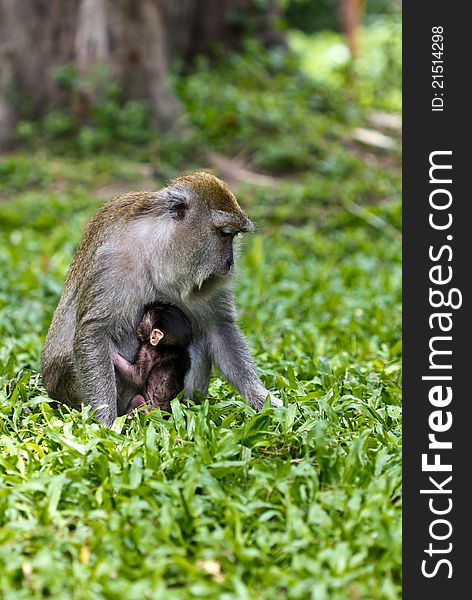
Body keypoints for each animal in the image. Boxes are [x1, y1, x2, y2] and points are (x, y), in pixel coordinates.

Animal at [41, 170, 280, 426]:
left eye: (233, 236)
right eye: (224, 233)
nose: (230, 262)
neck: (157, 252)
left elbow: (218, 328)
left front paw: (263, 399)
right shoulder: (113, 260)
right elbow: (95, 332)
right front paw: (105, 423)